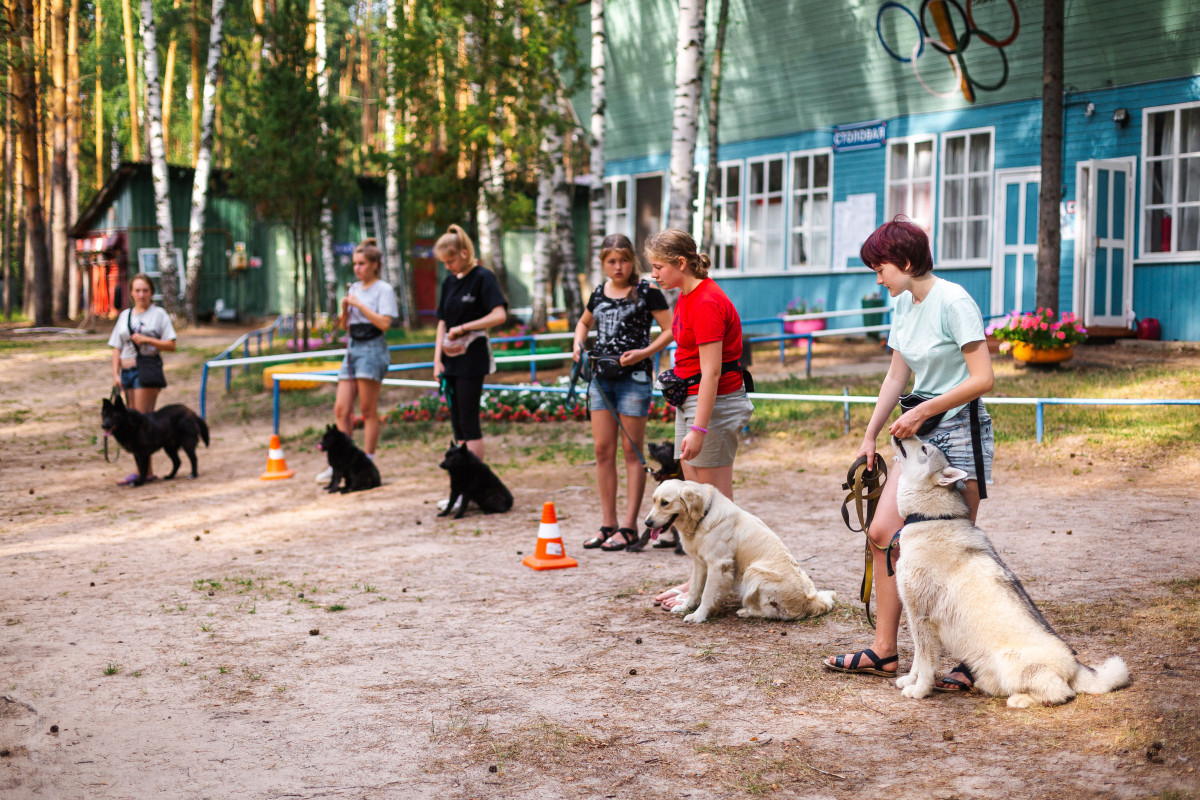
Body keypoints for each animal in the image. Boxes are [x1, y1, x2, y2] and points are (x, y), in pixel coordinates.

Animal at [648, 479, 835, 623]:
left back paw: (746, 611)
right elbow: (694, 589)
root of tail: (810, 601)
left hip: (753, 571)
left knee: (771, 613)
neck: (703, 515)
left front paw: (698, 616)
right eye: (654, 500)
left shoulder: (718, 564)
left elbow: (707, 593)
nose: (647, 523)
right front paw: (685, 607)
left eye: (665, 503)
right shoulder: (700, 562)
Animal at [888, 438, 1128, 705]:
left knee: (1061, 692)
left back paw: (1021, 700)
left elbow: (925, 662)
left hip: (1010, 662)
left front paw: (919, 689)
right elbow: (917, 661)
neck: (930, 517)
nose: (901, 433)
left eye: (924, 449)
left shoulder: (922, 618)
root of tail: (1076, 665)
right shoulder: (915, 619)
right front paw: (909, 680)